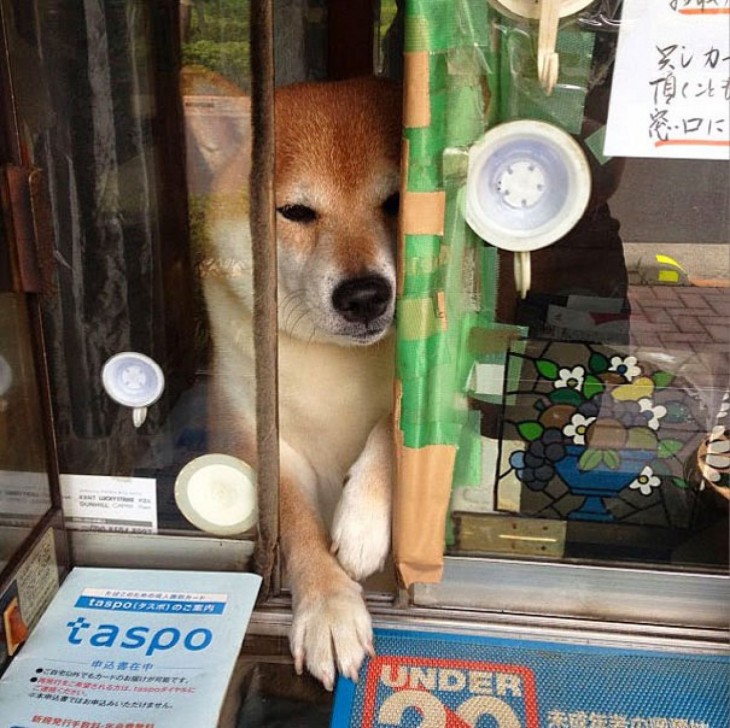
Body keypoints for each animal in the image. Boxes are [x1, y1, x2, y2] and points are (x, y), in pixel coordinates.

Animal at [202, 78, 400, 688]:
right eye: (295, 212)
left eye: (396, 202)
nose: (364, 296)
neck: (331, 364)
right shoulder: (263, 439)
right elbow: (298, 527)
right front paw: (329, 610)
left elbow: (394, 422)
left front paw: (363, 521)